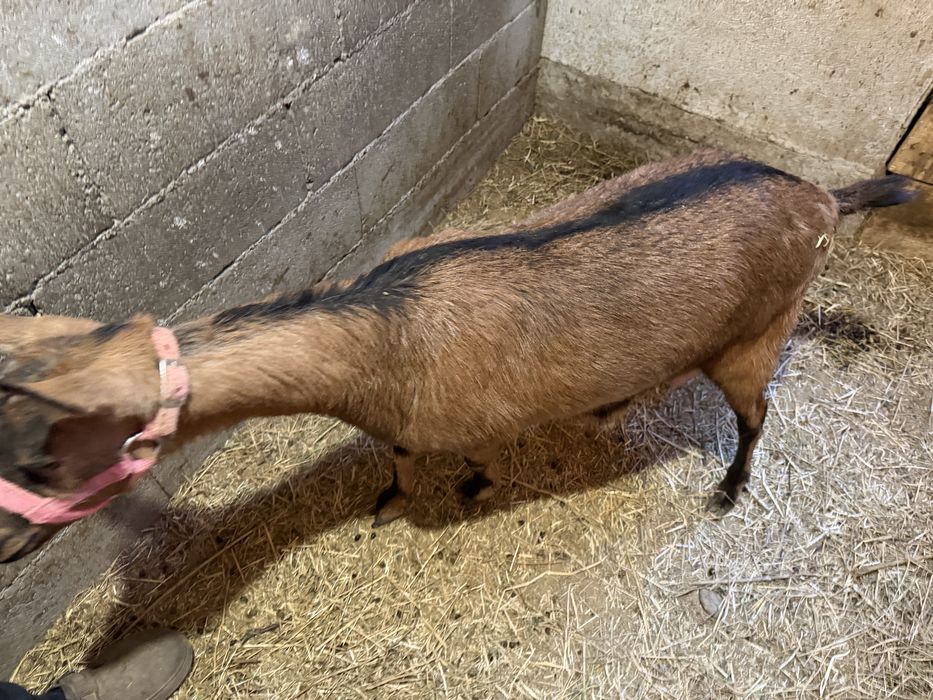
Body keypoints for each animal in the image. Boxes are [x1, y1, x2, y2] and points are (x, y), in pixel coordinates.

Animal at [0, 149, 916, 562]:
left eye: (42, 463)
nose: (9, 538)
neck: (386, 338)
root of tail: (820, 194)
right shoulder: (400, 422)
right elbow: (399, 463)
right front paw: (384, 502)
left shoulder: (469, 418)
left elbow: (472, 461)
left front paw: (472, 489)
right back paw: (613, 404)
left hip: (758, 332)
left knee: (757, 413)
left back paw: (727, 490)